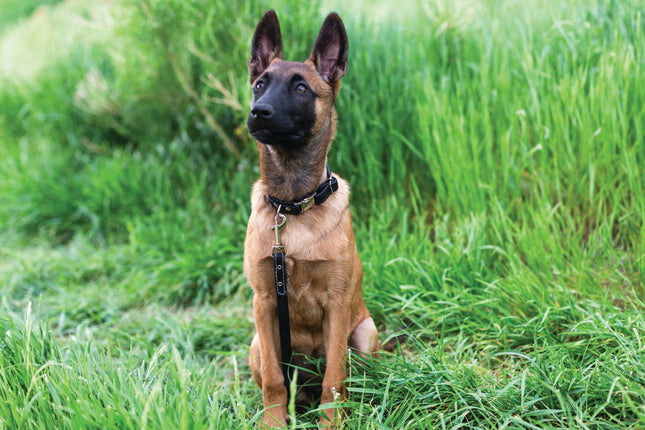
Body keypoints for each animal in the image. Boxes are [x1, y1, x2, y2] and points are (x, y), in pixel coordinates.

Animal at [244, 8, 380, 428]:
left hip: (364, 333)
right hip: (257, 343)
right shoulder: (264, 302)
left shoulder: (336, 305)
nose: (258, 113)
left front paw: (331, 422)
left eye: (302, 89)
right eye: (259, 85)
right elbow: (275, 380)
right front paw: (274, 422)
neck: (292, 206)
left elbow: (334, 378)